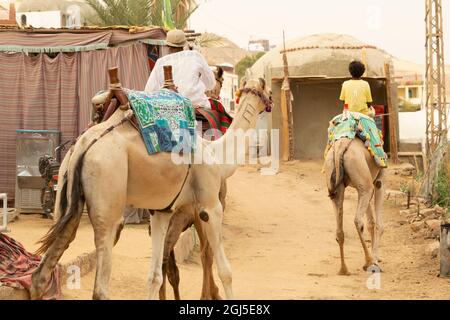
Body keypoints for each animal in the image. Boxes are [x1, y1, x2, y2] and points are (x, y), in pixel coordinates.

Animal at [30, 67, 270, 300]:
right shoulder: (210, 206)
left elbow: (154, 276)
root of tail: (83, 147)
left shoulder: (161, 212)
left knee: (43, 270)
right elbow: (224, 270)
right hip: (108, 192)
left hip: (65, 195)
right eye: (266, 90)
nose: (271, 102)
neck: (216, 154)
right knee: (100, 286)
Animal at [326, 138, 384, 276]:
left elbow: (371, 223)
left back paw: (343, 269)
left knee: (339, 230)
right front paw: (376, 258)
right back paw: (369, 263)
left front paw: (376, 257)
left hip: (337, 187)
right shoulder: (380, 179)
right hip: (365, 185)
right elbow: (378, 225)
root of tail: (340, 148)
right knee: (358, 221)